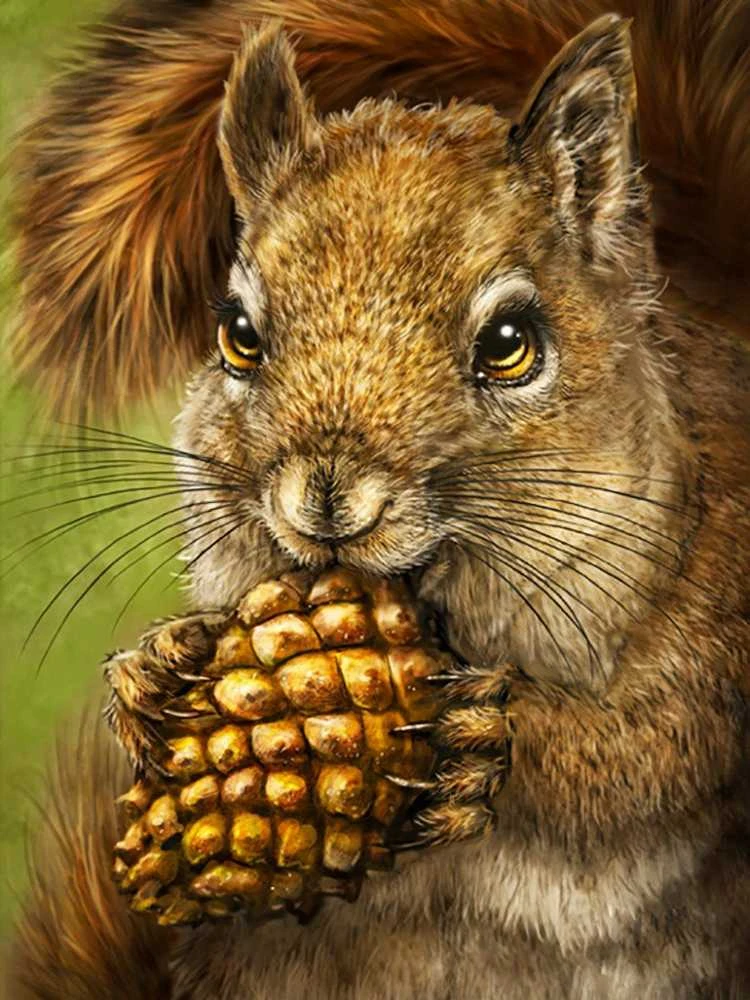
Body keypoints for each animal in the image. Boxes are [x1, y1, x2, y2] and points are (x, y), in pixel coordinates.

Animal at [6, 2, 750, 998]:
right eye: (236, 333)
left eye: (511, 343)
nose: (325, 501)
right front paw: (154, 669)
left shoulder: (711, 635)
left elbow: (644, 755)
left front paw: (493, 733)